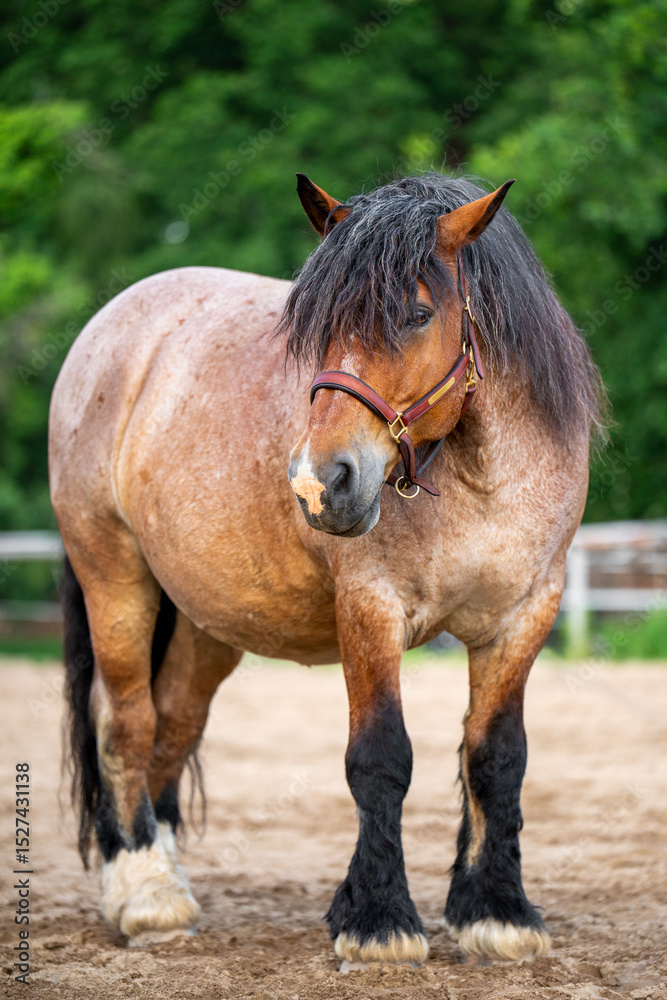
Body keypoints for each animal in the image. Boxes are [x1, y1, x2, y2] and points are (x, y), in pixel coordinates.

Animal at [49, 172, 604, 966]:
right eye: (315, 328)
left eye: (416, 314)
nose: (319, 484)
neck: (480, 478)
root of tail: (113, 325)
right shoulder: (369, 610)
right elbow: (380, 758)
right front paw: (378, 921)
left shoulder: (524, 615)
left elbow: (496, 757)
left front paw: (496, 913)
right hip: (114, 576)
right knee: (124, 720)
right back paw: (146, 894)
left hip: (206, 622)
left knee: (173, 723)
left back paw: (166, 879)